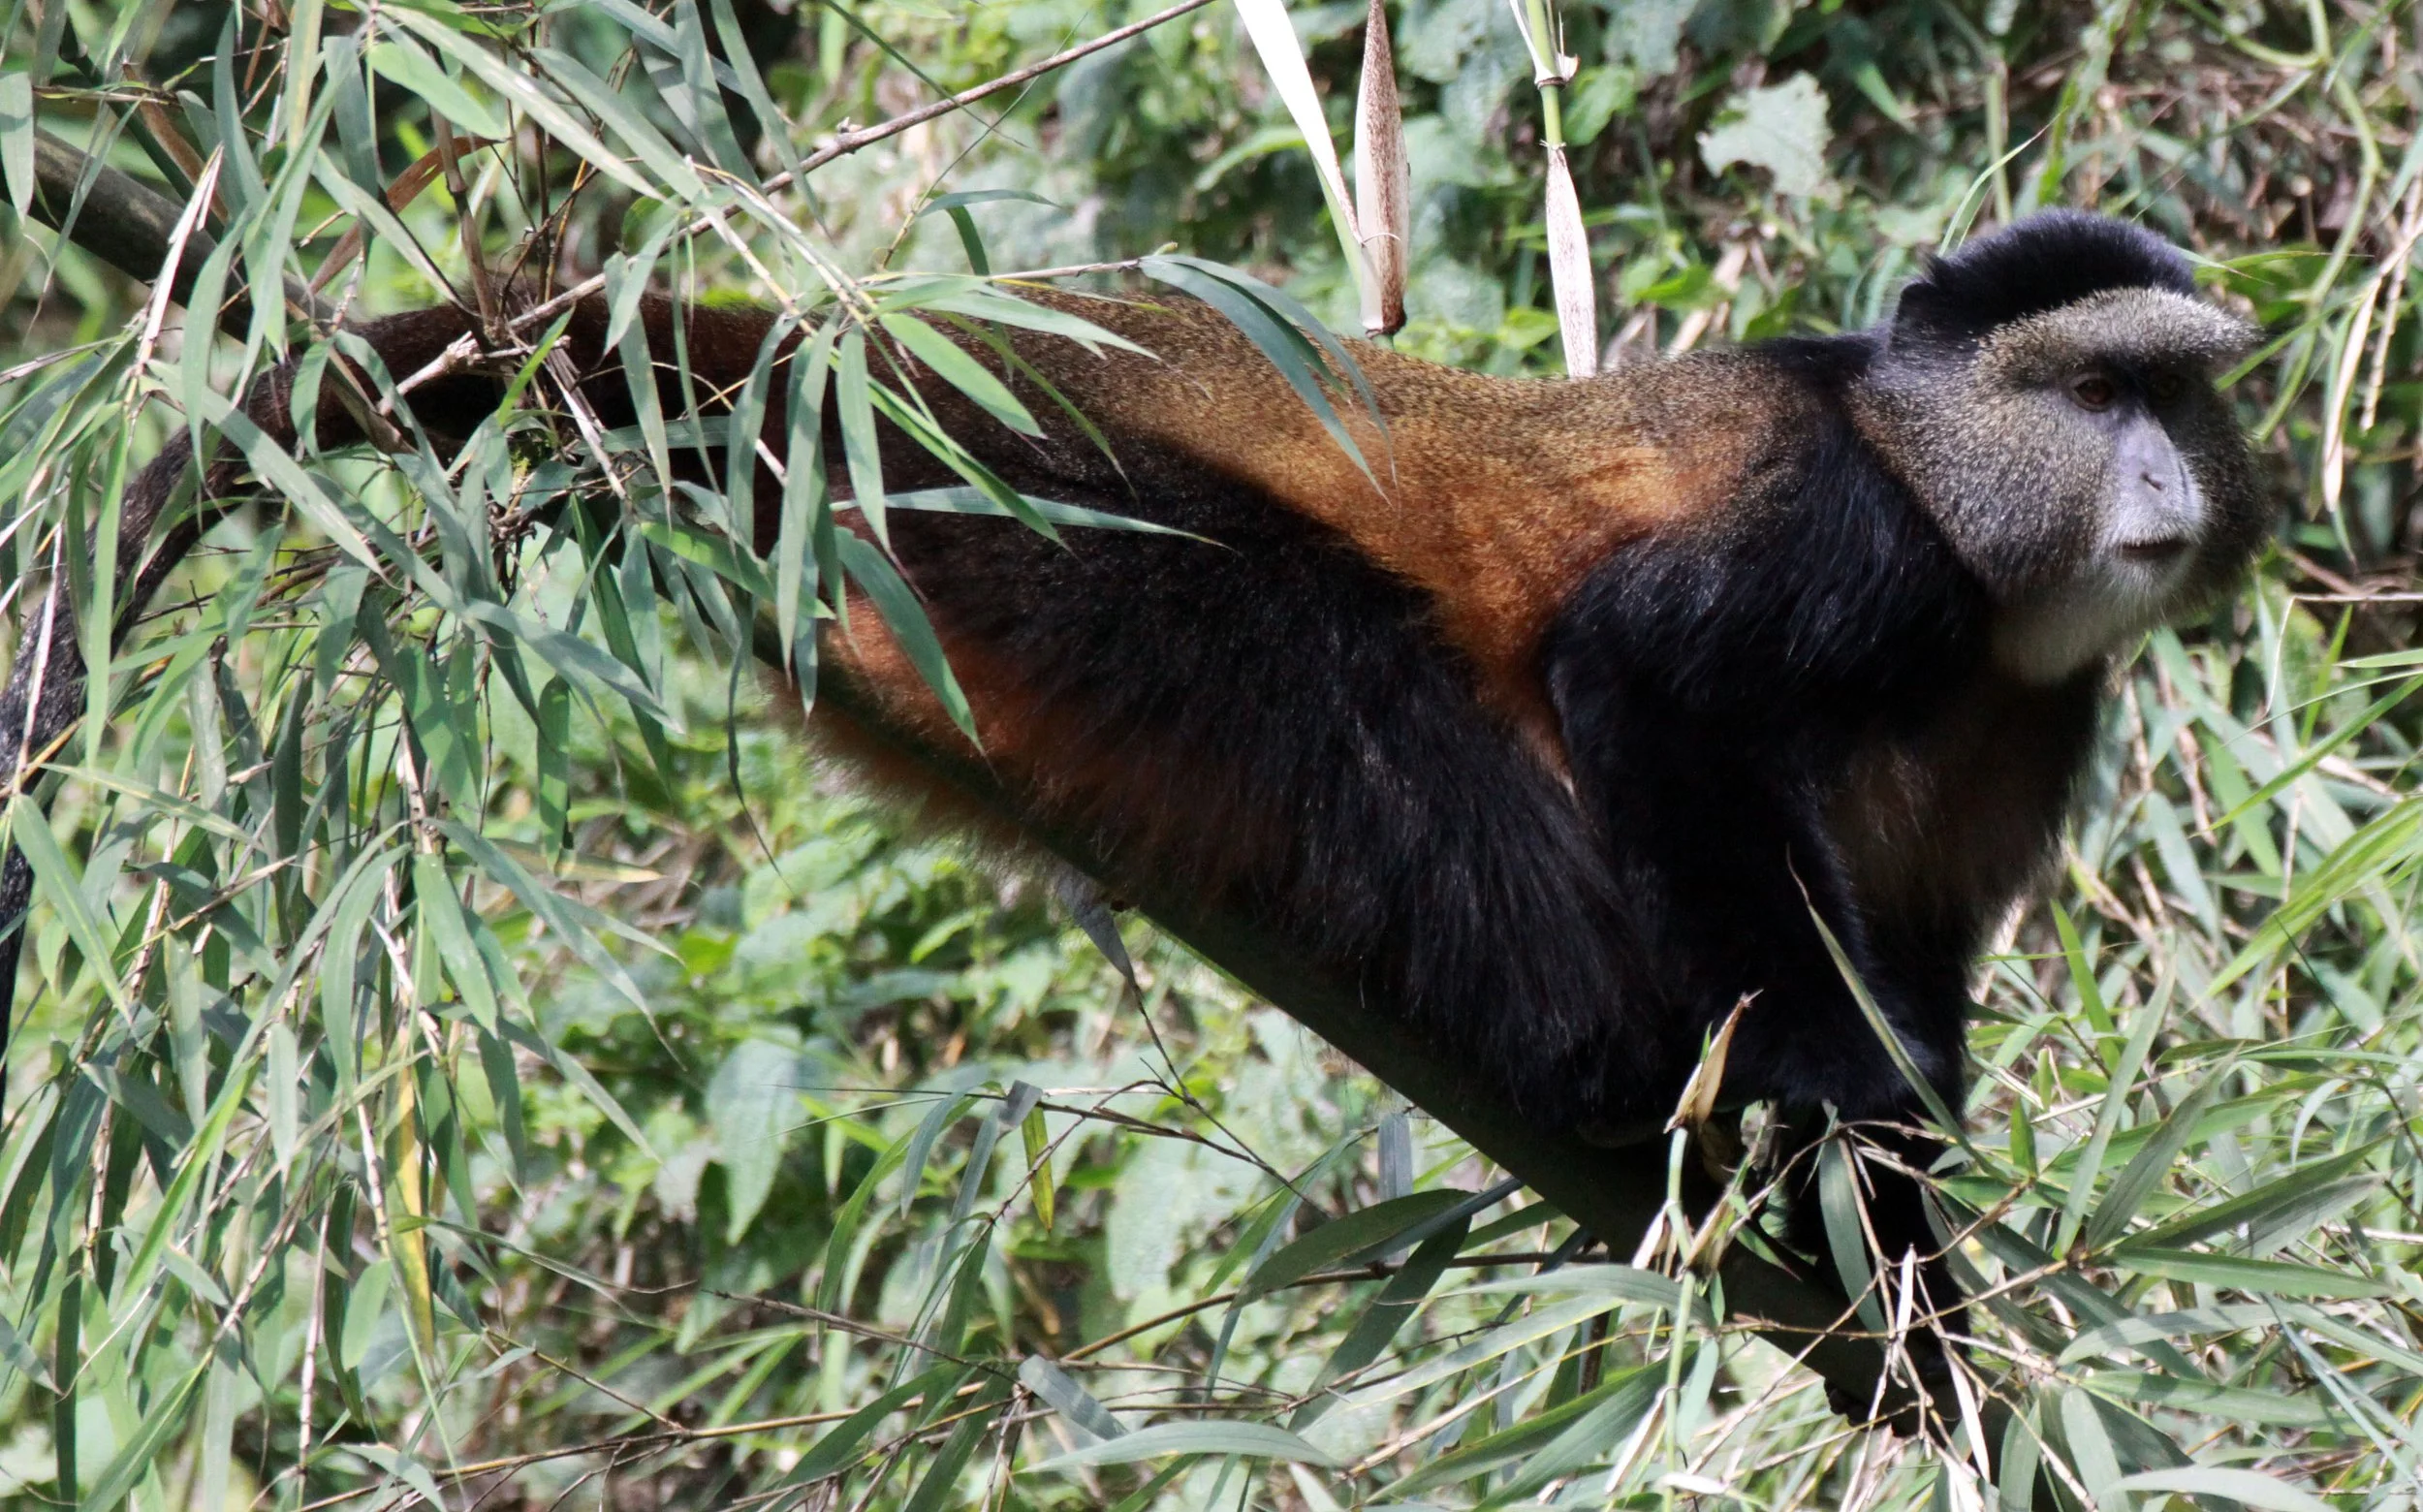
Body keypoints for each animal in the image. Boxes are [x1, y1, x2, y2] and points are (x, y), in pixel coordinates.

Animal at [0, 209, 2267, 1401]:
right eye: (2089, 393)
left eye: (2182, 391)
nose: (2164, 478)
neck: (1951, 507)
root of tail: (864, 364)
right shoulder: (1844, 547)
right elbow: (1647, 683)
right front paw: (1811, 1130)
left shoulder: (2035, 707)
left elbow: (1920, 979)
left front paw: (1925, 1287)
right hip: (1072, 548)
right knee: (1367, 716)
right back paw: (1609, 1070)